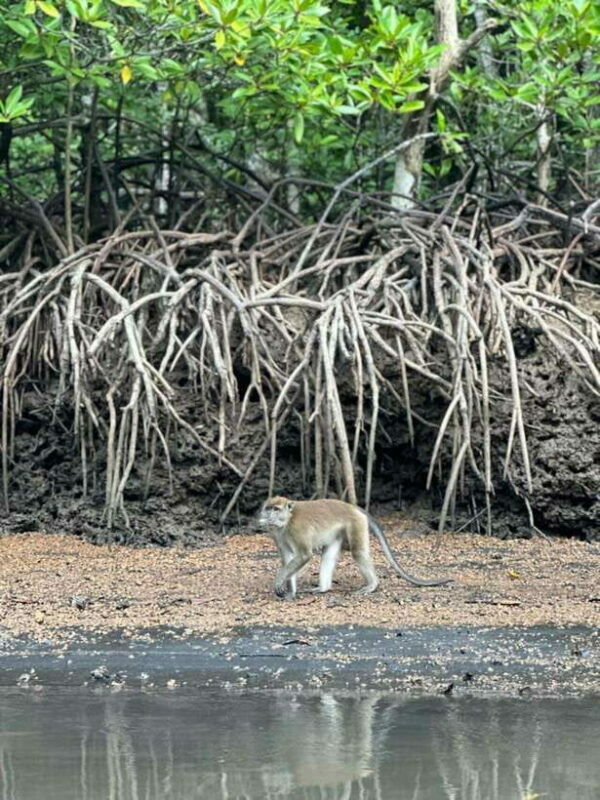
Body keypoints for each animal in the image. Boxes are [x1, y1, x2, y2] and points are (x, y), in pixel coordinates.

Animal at [256, 496, 452, 599]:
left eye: (276, 509)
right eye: (268, 508)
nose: (268, 516)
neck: (287, 520)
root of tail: (351, 506)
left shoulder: (297, 529)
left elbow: (304, 555)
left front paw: (280, 580)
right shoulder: (278, 534)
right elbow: (288, 558)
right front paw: (290, 591)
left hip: (355, 523)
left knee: (358, 552)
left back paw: (372, 585)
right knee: (328, 554)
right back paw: (323, 588)